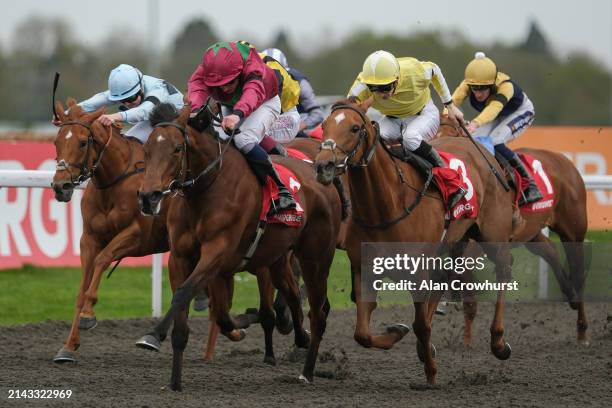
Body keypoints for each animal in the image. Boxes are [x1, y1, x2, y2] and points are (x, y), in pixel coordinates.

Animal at [136, 103, 342, 390]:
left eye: (177, 148)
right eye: (146, 149)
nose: (148, 197)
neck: (207, 189)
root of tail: (320, 177)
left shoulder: (217, 251)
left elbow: (184, 293)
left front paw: (153, 335)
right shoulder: (181, 257)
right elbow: (203, 312)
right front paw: (175, 381)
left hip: (316, 259)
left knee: (319, 311)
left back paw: (307, 372)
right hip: (278, 259)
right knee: (291, 295)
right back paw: (300, 336)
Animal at [314, 97, 520, 384]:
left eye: (355, 128)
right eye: (324, 125)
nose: (323, 166)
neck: (387, 205)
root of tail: (483, 152)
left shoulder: (418, 268)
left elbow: (420, 324)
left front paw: (431, 373)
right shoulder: (365, 267)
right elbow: (362, 333)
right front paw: (398, 334)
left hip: (492, 235)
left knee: (503, 269)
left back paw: (498, 342)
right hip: (453, 241)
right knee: (445, 277)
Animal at [438, 118, 592, 344]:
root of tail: (564, 161)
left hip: (573, 231)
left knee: (579, 271)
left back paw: (582, 330)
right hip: (532, 232)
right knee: (550, 251)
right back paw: (569, 294)